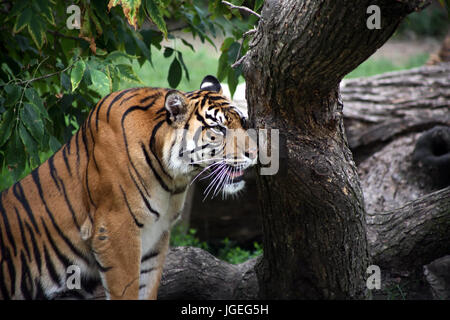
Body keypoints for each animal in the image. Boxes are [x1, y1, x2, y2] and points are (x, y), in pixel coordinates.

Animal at [0, 75, 256, 300]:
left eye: (243, 122)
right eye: (219, 129)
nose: (254, 154)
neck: (174, 179)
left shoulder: (156, 237)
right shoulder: (115, 232)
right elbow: (126, 291)